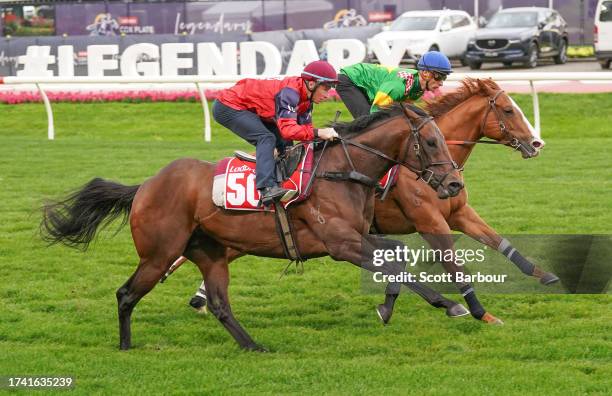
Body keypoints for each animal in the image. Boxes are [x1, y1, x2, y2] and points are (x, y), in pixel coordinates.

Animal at [41, 103, 464, 352]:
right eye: (430, 141)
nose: (454, 184)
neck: (341, 171)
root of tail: (145, 186)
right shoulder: (340, 243)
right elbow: (395, 264)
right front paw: (449, 304)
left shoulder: (359, 235)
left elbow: (399, 255)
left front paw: (388, 306)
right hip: (159, 254)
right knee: (126, 294)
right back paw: (127, 348)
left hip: (209, 253)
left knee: (219, 304)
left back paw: (253, 345)